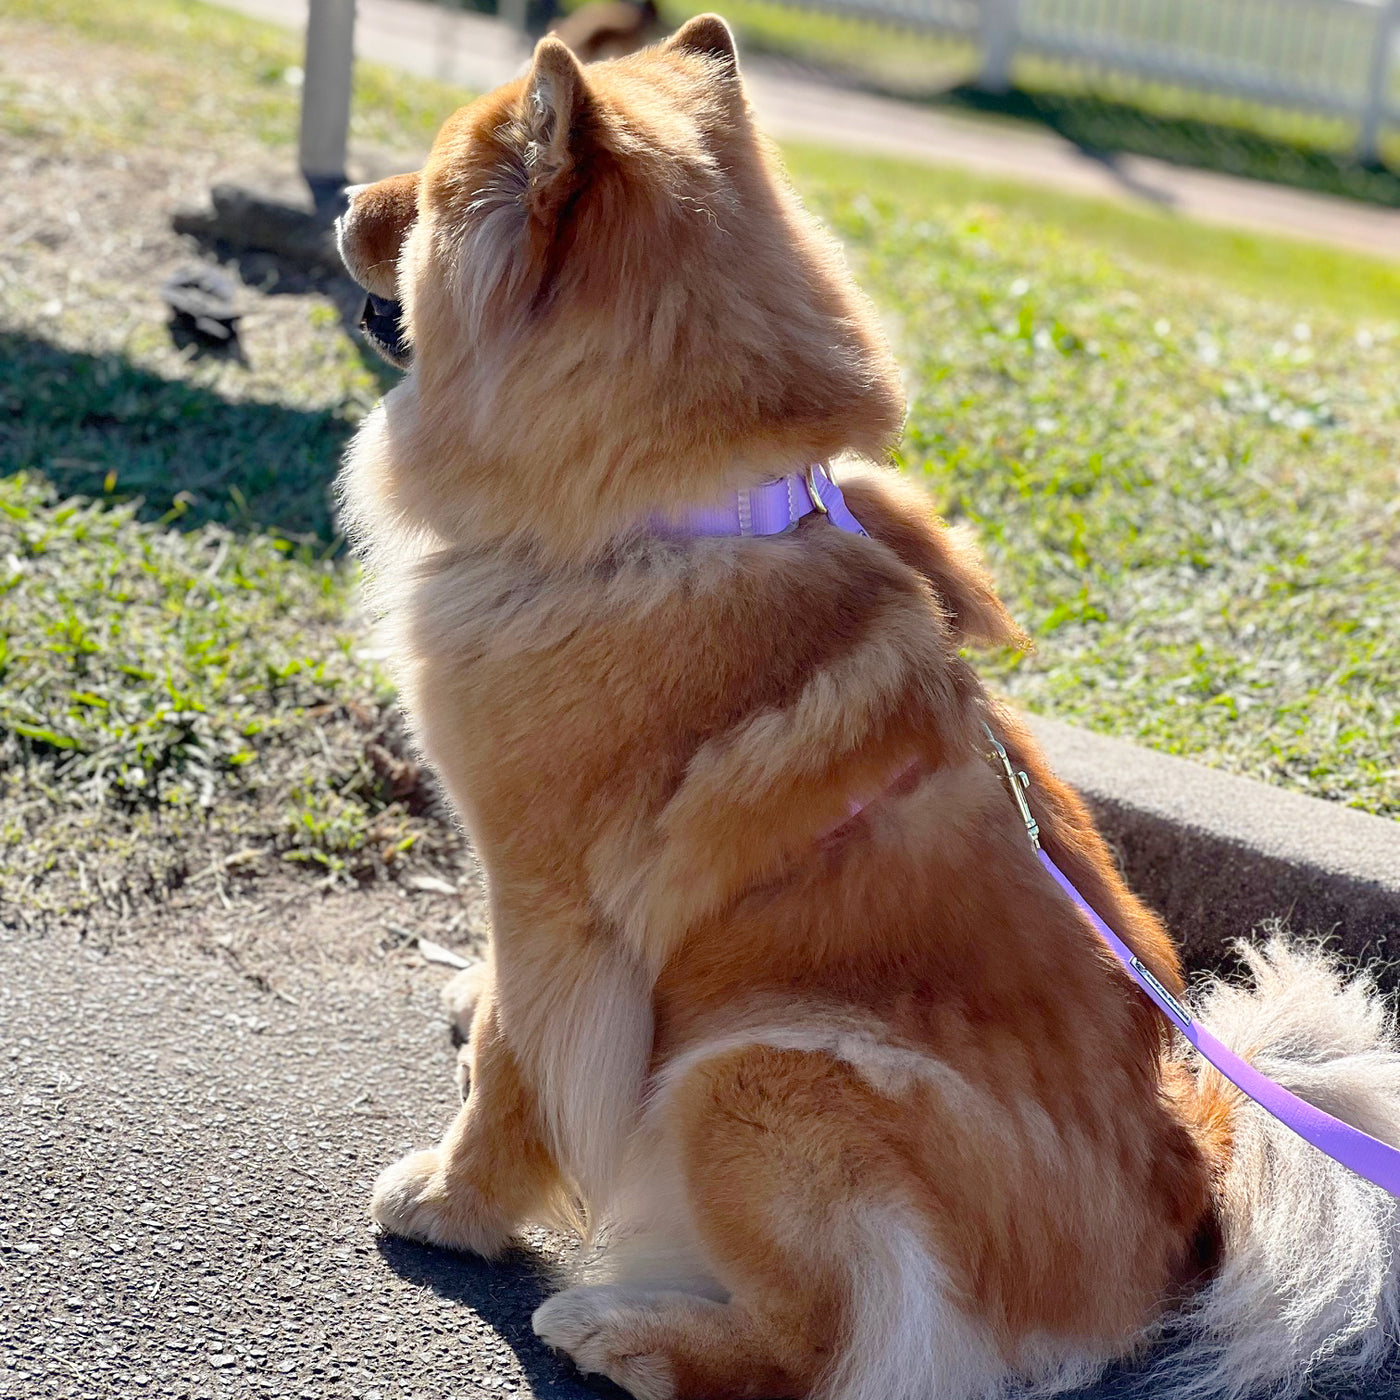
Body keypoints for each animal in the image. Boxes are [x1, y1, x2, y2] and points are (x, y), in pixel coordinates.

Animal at [338, 21, 1400, 1400]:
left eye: (418, 197)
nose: (344, 203)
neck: (676, 516)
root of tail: (1194, 1193)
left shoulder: (559, 900)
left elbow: (519, 1082)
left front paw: (449, 1199)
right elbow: (507, 1017)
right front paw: (470, 999)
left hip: (755, 1074)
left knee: (816, 1347)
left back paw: (626, 1333)